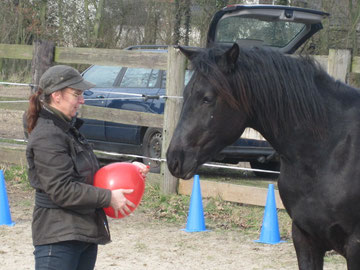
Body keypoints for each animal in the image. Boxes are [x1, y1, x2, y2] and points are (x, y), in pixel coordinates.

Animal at [167, 43, 360, 268]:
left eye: (207, 99)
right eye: (186, 93)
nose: (174, 158)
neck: (330, 149)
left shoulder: (354, 247)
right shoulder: (305, 239)